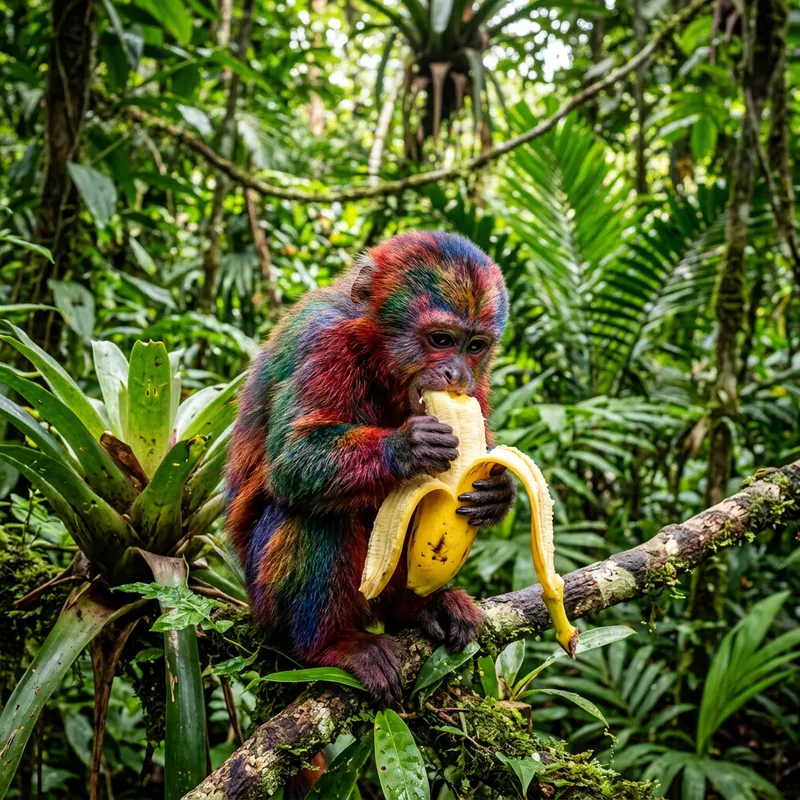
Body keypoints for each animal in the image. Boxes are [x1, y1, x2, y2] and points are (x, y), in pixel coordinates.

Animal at [225, 231, 513, 707]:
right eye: (440, 339)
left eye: (475, 347)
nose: (456, 375)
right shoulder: (324, 344)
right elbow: (292, 461)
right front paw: (407, 448)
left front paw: (498, 494)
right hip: (265, 603)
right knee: (315, 511)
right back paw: (330, 646)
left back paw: (414, 609)